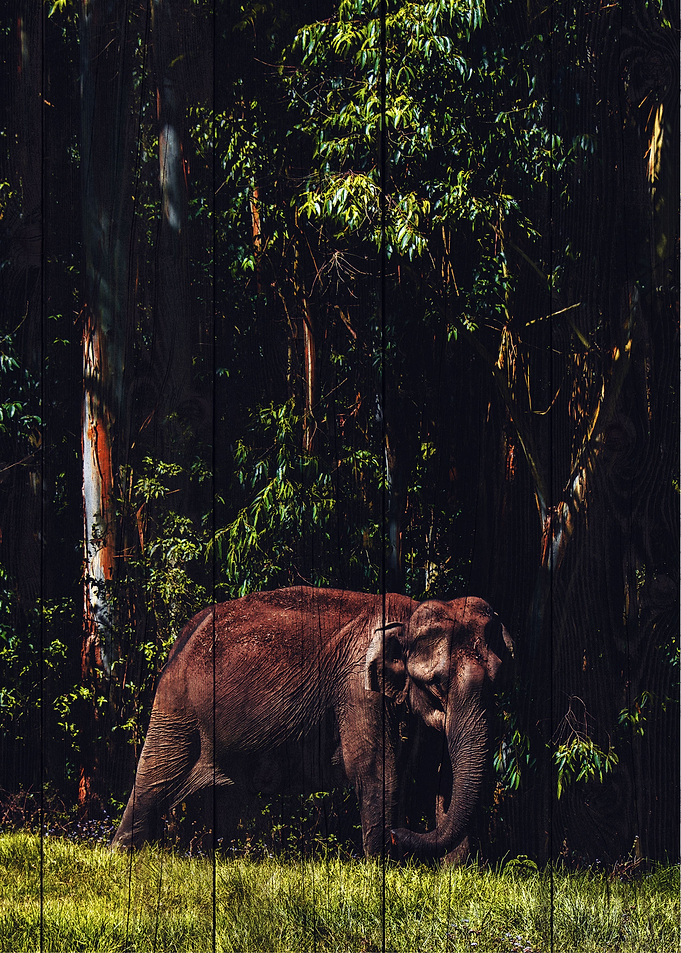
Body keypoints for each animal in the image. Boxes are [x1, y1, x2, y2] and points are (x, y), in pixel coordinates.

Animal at [112, 587, 512, 858]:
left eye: (498, 682)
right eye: (437, 682)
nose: (399, 832)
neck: (410, 613)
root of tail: (184, 635)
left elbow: (436, 774)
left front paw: (450, 874)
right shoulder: (357, 690)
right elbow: (377, 769)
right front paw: (384, 869)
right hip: (177, 706)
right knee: (153, 780)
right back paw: (121, 856)